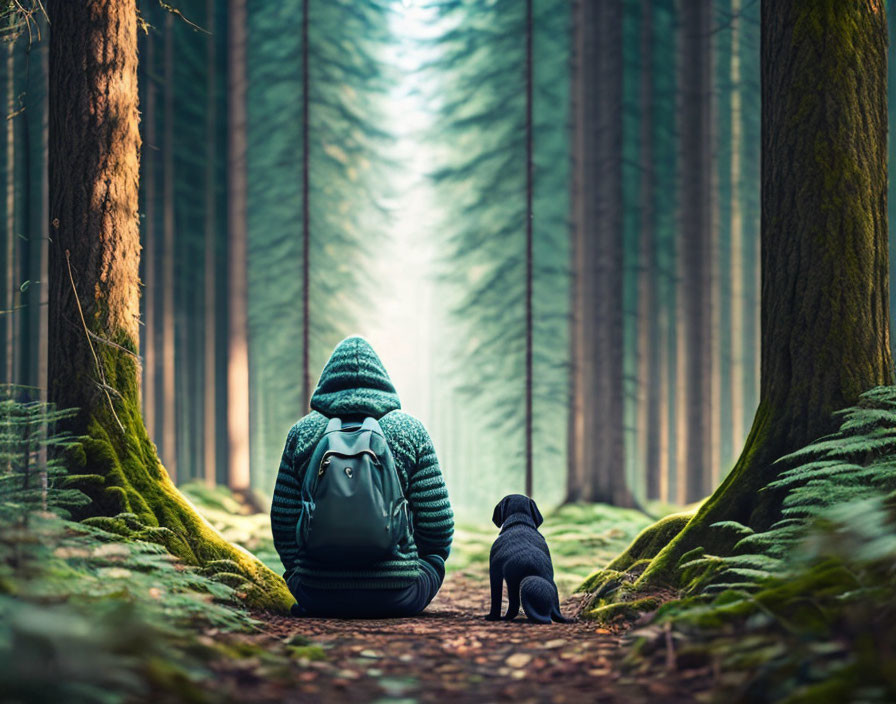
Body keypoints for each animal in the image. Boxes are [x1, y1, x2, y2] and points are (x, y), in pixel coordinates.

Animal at [486, 492, 572, 624]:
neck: (519, 523)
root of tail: (553, 608)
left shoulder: (495, 571)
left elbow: (496, 599)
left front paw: (492, 617)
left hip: (527, 581)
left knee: (545, 618)